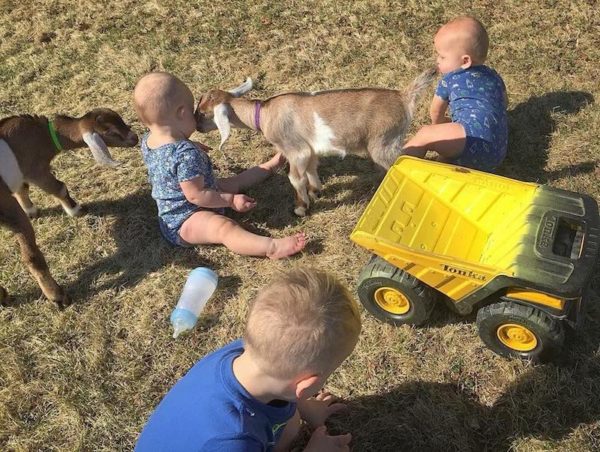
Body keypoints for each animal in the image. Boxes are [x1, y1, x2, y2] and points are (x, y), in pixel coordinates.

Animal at [0, 109, 137, 308]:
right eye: (110, 132)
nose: (135, 138)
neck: (42, 134)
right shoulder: (36, 170)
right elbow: (59, 188)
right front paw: (76, 210)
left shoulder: (23, 174)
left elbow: (22, 188)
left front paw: (31, 210)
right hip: (8, 211)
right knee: (31, 257)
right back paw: (59, 297)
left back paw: (3, 296)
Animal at [197, 70, 436, 217]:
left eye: (203, 113)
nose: (197, 127)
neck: (264, 114)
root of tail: (403, 97)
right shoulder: (310, 149)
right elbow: (311, 168)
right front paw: (315, 191)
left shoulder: (296, 149)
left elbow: (295, 178)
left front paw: (301, 207)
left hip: (383, 143)